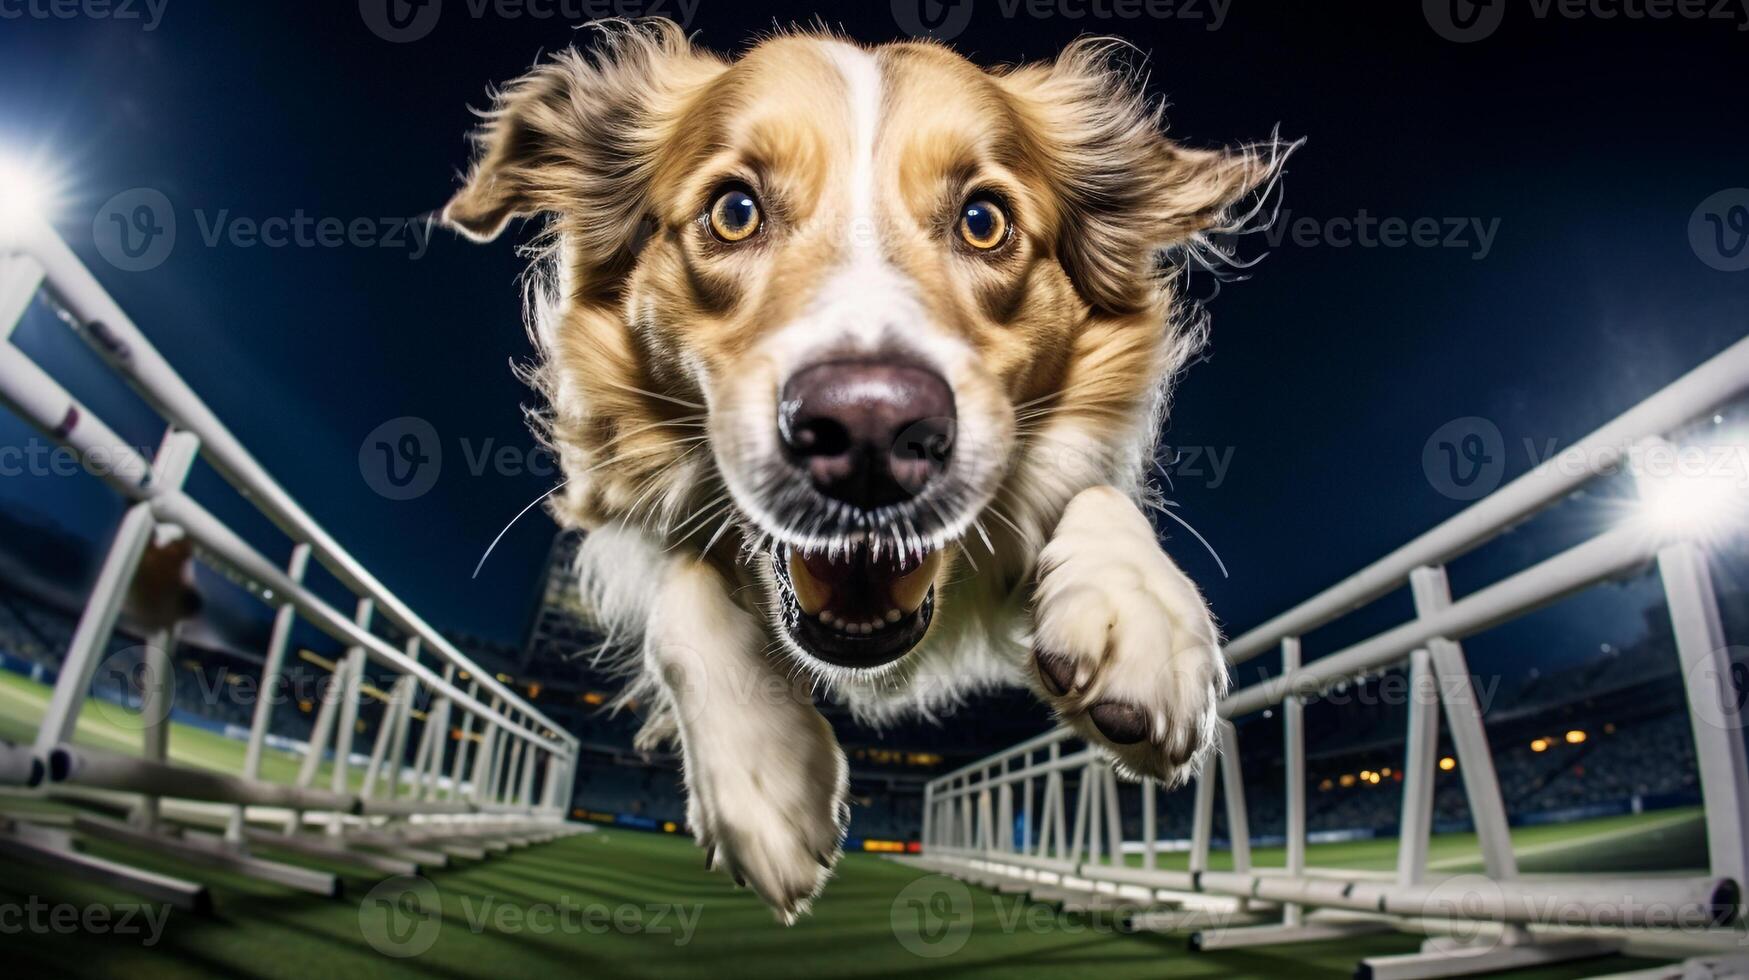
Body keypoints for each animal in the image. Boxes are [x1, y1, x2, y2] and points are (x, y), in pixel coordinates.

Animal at [444, 19, 1294, 924]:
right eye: (734, 211)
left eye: (983, 220)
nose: (869, 427)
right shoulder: (618, 514)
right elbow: (680, 585)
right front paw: (764, 772)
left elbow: (1089, 491)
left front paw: (1137, 616)